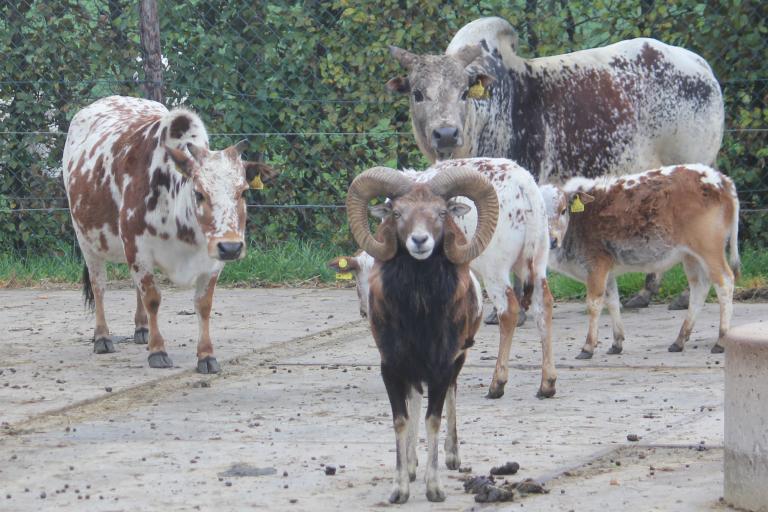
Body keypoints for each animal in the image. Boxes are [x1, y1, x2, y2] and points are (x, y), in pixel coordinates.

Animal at [63, 95, 276, 372]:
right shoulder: (138, 249)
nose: (231, 248)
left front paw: (206, 355)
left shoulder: (211, 259)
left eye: (243, 192)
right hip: (86, 241)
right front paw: (158, 351)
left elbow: (203, 305)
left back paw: (142, 329)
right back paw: (102, 337)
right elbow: (153, 298)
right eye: (199, 193)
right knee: (99, 285)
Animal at [536, 166, 740, 358]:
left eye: (563, 210)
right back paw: (679, 340)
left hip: (708, 248)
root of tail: (721, 180)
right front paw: (616, 343)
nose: (551, 240)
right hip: (690, 255)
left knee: (725, 282)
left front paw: (588, 347)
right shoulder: (607, 270)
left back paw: (721, 341)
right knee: (699, 288)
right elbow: (612, 301)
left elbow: (593, 304)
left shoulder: (596, 265)